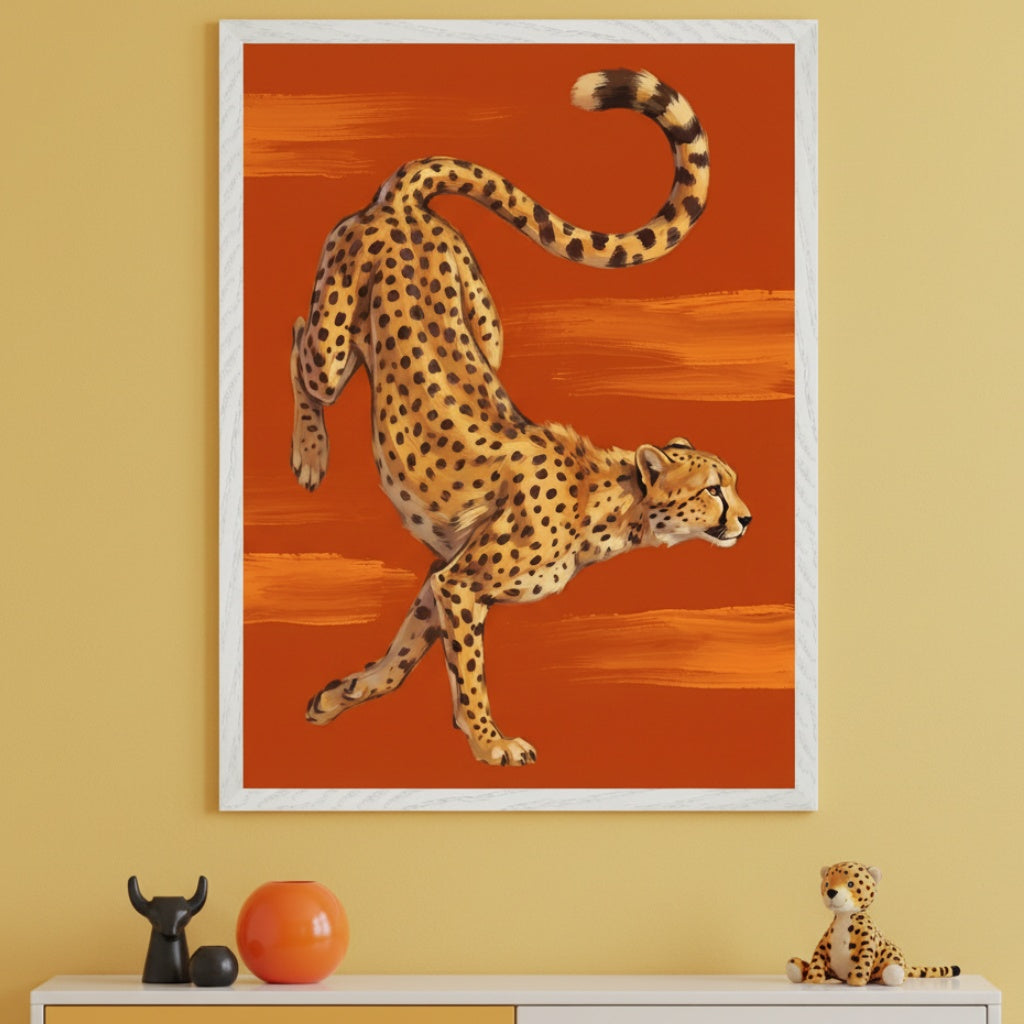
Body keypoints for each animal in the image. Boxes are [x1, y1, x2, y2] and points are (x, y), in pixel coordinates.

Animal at [291, 68, 752, 766]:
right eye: (711, 490)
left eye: (732, 484)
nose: (747, 519)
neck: (606, 506)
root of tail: (402, 202)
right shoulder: (461, 585)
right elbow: (469, 671)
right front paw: (489, 741)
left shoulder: (441, 576)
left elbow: (404, 652)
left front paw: (345, 693)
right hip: (334, 345)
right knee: (297, 343)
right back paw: (310, 452)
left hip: (487, 326)